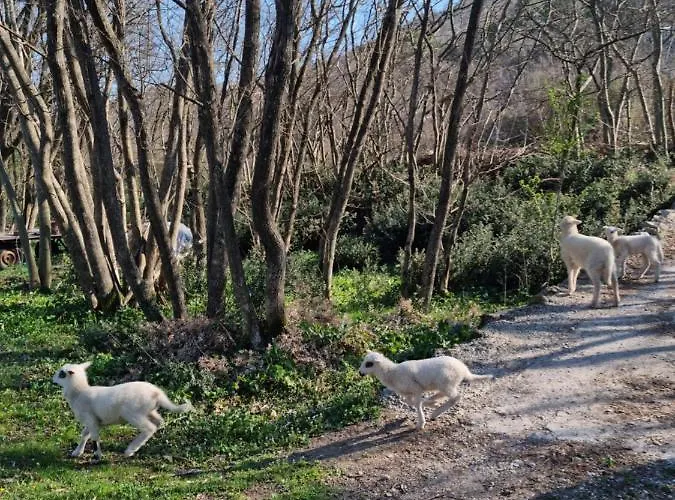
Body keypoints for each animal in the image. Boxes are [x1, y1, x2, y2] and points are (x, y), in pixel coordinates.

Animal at [53, 362, 192, 459]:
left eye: (61, 373)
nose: (52, 380)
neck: (79, 392)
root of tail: (157, 393)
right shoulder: (93, 421)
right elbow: (85, 434)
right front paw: (77, 452)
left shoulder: (90, 419)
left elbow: (95, 437)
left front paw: (97, 455)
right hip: (149, 411)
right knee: (159, 422)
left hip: (132, 412)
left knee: (149, 428)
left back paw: (130, 450)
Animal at [358, 351, 494, 430]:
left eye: (369, 364)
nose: (360, 373)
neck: (391, 373)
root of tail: (464, 370)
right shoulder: (408, 392)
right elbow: (409, 402)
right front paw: (430, 404)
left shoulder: (416, 389)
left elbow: (417, 404)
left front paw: (421, 423)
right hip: (444, 384)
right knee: (444, 394)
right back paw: (433, 401)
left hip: (446, 382)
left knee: (456, 397)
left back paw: (435, 413)